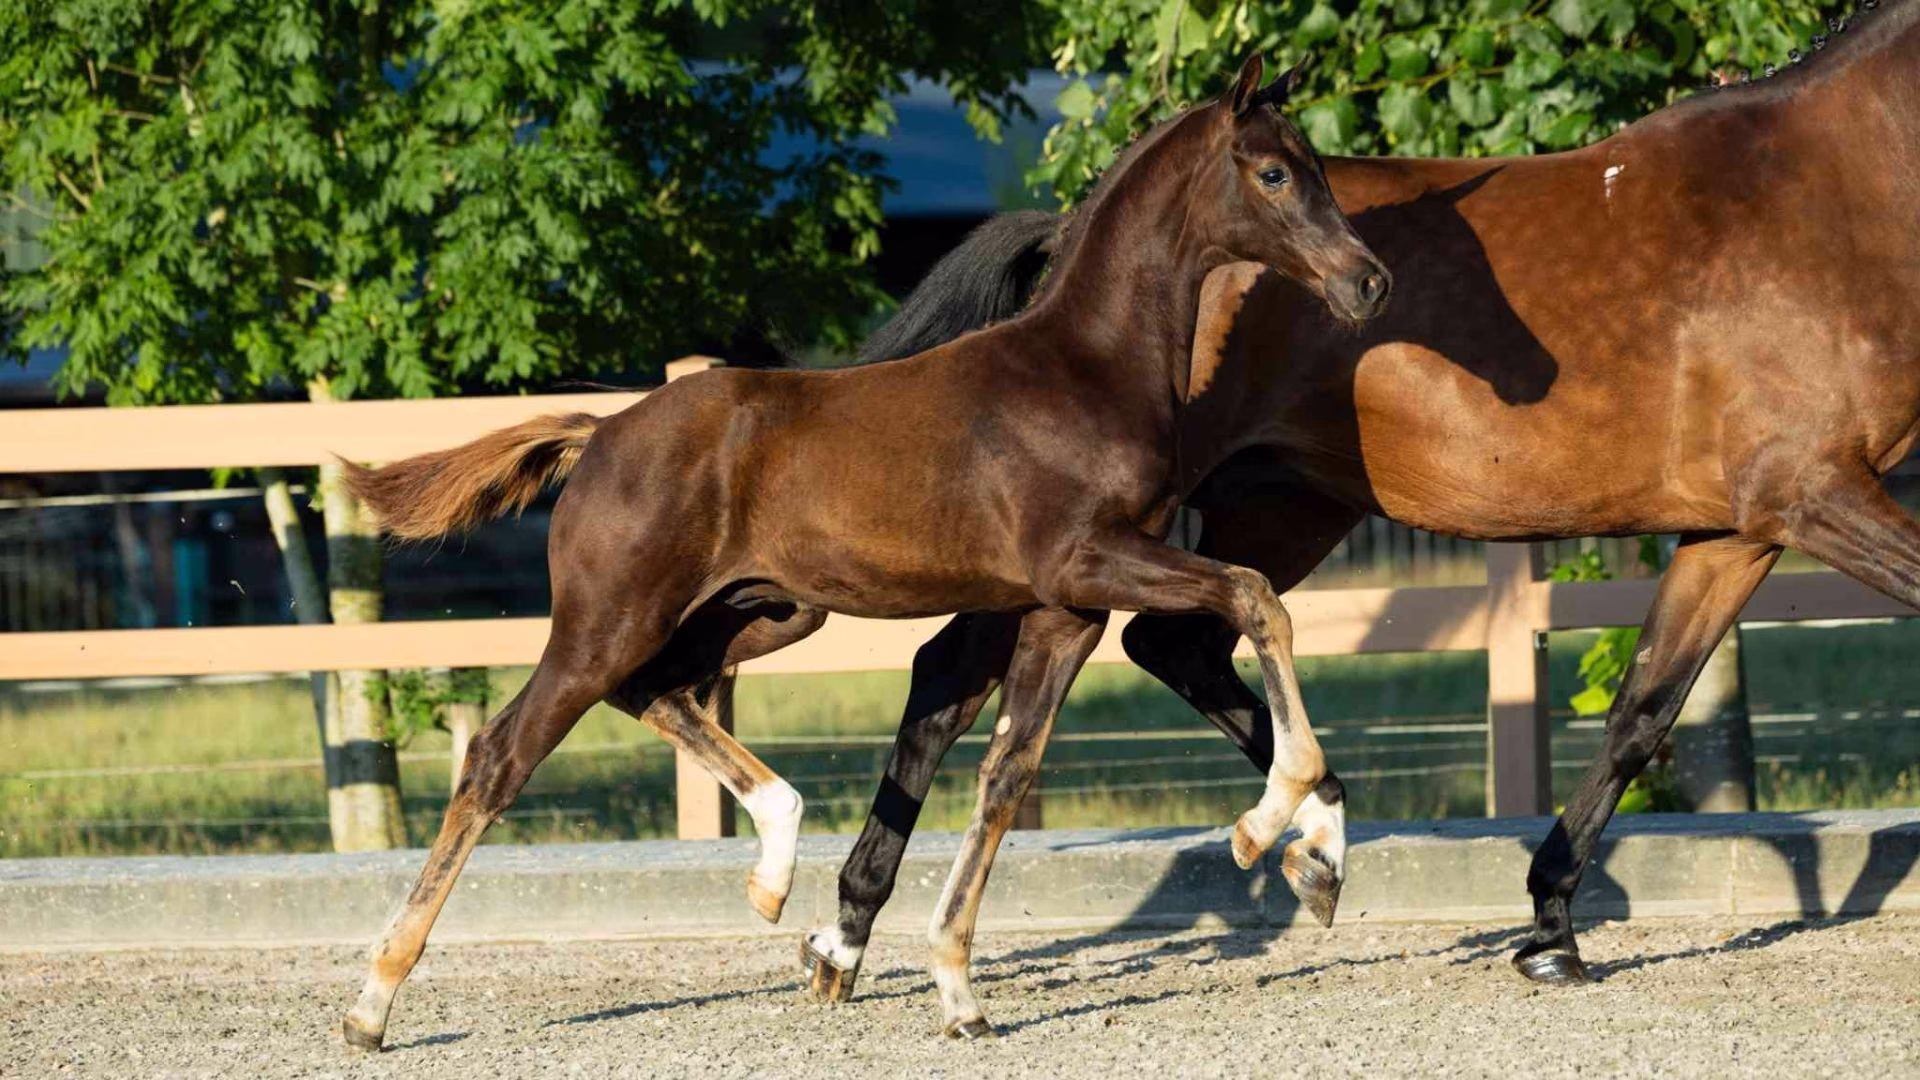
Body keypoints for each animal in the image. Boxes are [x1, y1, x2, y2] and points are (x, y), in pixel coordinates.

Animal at [334, 54, 1391, 1049]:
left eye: (1316, 167)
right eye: (1273, 173)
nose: (1368, 281)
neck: (1084, 371)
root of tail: (598, 435)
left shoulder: (1066, 610)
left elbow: (1006, 773)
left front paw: (959, 992)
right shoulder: (1091, 561)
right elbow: (1256, 597)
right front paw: (1267, 826)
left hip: (759, 612)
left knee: (660, 692)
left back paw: (773, 866)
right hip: (608, 621)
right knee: (500, 756)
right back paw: (372, 1003)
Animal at [793, 0, 1920, 1002]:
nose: (1368, 285)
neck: (1821, 192)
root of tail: (1072, 243)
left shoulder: (1736, 530)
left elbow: (1641, 710)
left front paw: (1551, 928)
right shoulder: (1817, 495)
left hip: (1283, 505)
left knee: (1168, 647)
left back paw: (1308, 845)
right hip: (1097, 535)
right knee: (959, 673)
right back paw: (850, 935)